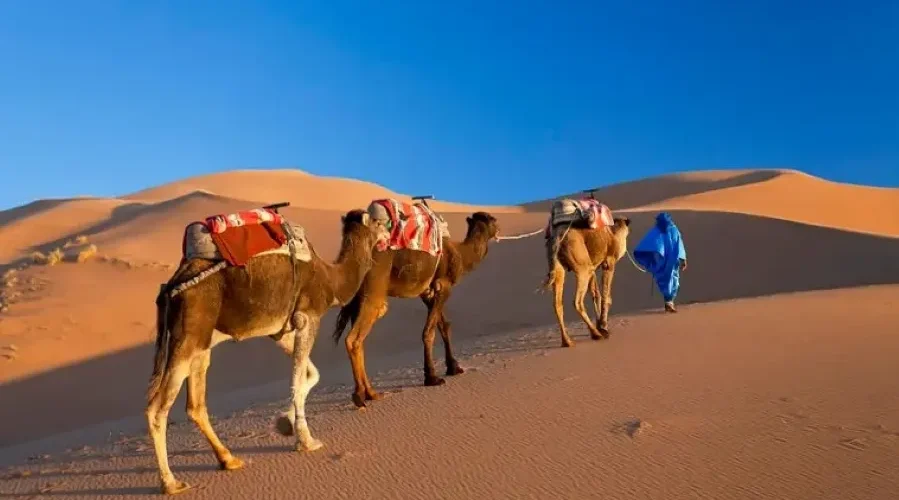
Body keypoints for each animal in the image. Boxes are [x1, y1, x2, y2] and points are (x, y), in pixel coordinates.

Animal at [146, 208, 389, 495]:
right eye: (377, 221)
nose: (388, 231)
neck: (331, 278)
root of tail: (170, 287)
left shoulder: (280, 330)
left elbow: (310, 375)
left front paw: (285, 423)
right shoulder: (308, 317)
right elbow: (296, 379)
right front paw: (306, 441)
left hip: (201, 342)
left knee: (195, 404)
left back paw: (229, 460)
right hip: (187, 335)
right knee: (157, 408)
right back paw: (171, 482)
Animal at [331, 208, 500, 408]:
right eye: (493, 219)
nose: (499, 229)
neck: (460, 254)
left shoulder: (427, 292)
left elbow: (444, 326)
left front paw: (453, 367)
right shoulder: (444, 286)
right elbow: (429, 332)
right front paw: (432, 377)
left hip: (359, 297)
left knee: (360, 339)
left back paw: (371, 393)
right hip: (374, 290)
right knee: (354, 338)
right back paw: (360, 395)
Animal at [541, 201, 631, 348]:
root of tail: (557, 237)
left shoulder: (593, 266)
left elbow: (596, 294)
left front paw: (601, 325)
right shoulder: (609, 262)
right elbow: (606, 296)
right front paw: (603, 327)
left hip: (558, 267)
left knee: (557, 304)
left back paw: (567, 341)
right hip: (582, 267)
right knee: (577, 301)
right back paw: (595, 334)